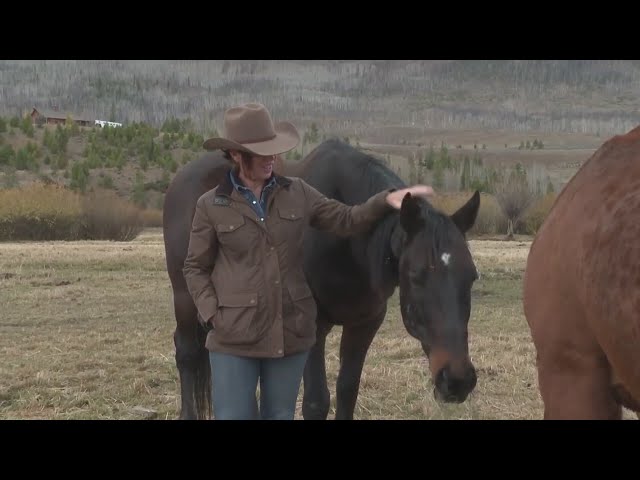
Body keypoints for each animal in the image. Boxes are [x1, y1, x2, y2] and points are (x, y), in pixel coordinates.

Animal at [162, 140, 478, 420]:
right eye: (415, 275)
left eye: (472, 277)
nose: (458, 380)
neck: (347, 249)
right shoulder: (311, 326)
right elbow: (316, 402)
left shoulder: (364, 325)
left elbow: (347, 390)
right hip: (185, 295)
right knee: (187, 352)